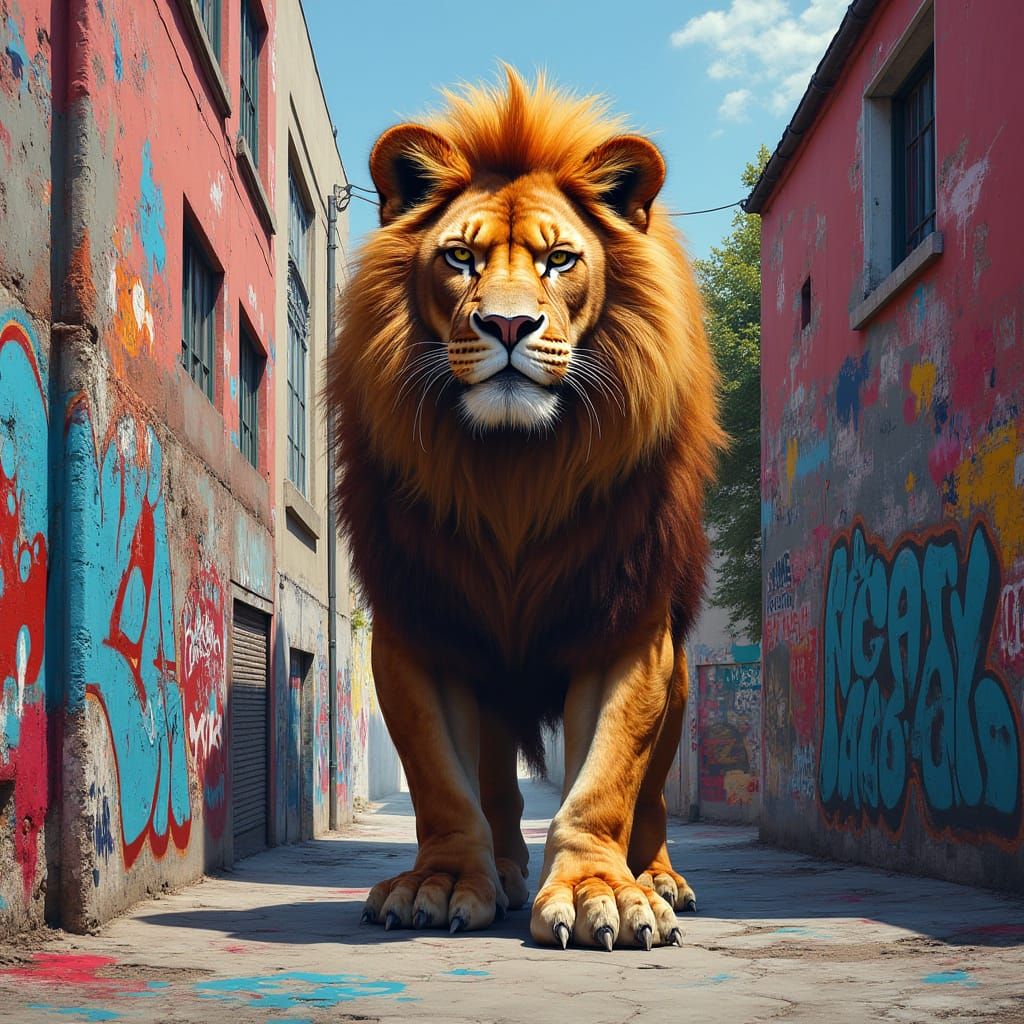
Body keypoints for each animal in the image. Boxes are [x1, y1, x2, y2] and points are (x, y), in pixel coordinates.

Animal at [326, 68, 722, 950]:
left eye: (559, 259)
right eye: (461, 258)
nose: (507, 323)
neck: (513, 472)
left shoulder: (627, 626)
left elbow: (607, 780)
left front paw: (598, 893)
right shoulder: (421, 623)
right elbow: (442, 781)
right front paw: (440, 883)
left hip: (680, 683)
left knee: (652, 797)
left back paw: (660, 879)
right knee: (496, 786)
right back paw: (501, 873)